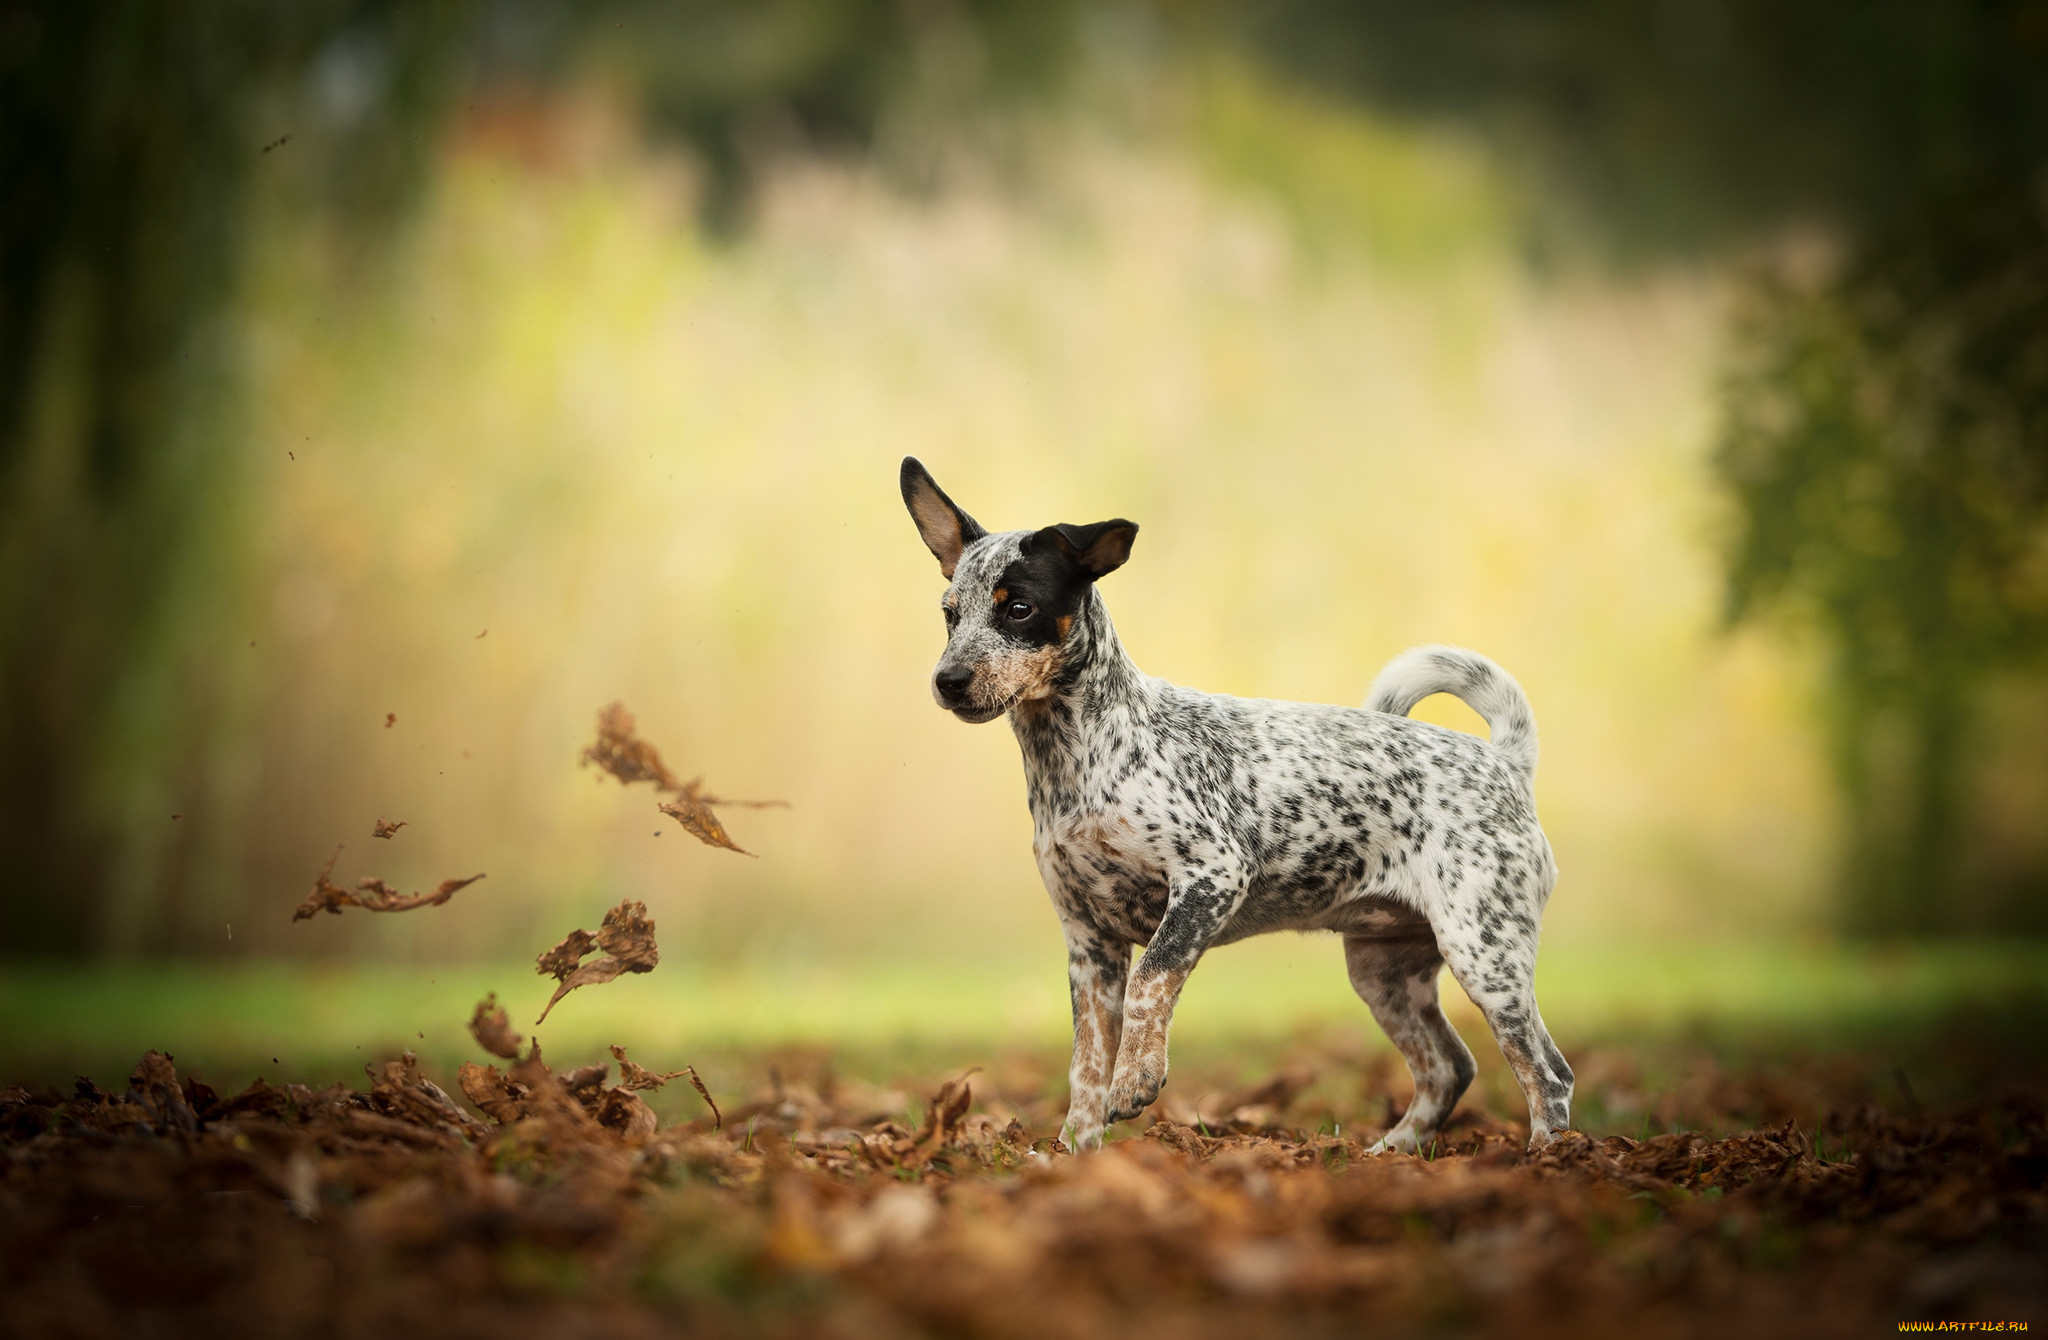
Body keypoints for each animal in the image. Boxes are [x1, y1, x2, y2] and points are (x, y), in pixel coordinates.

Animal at [892, 458, 1564, 1155]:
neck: (1084, 759)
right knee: (1448, 1065)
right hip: (1385, 972)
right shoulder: (1088, 942)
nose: (947, 681)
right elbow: (1085, 1063)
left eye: (1020, 608)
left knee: (1547, 1072)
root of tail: (1506, 762)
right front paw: (1075, 1150)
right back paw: (1390, 1152)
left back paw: (1549, 1156)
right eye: (950, 615)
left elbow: (1151, 981)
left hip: (1484, 954)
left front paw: (1136, 1079)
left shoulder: (1211, 878)